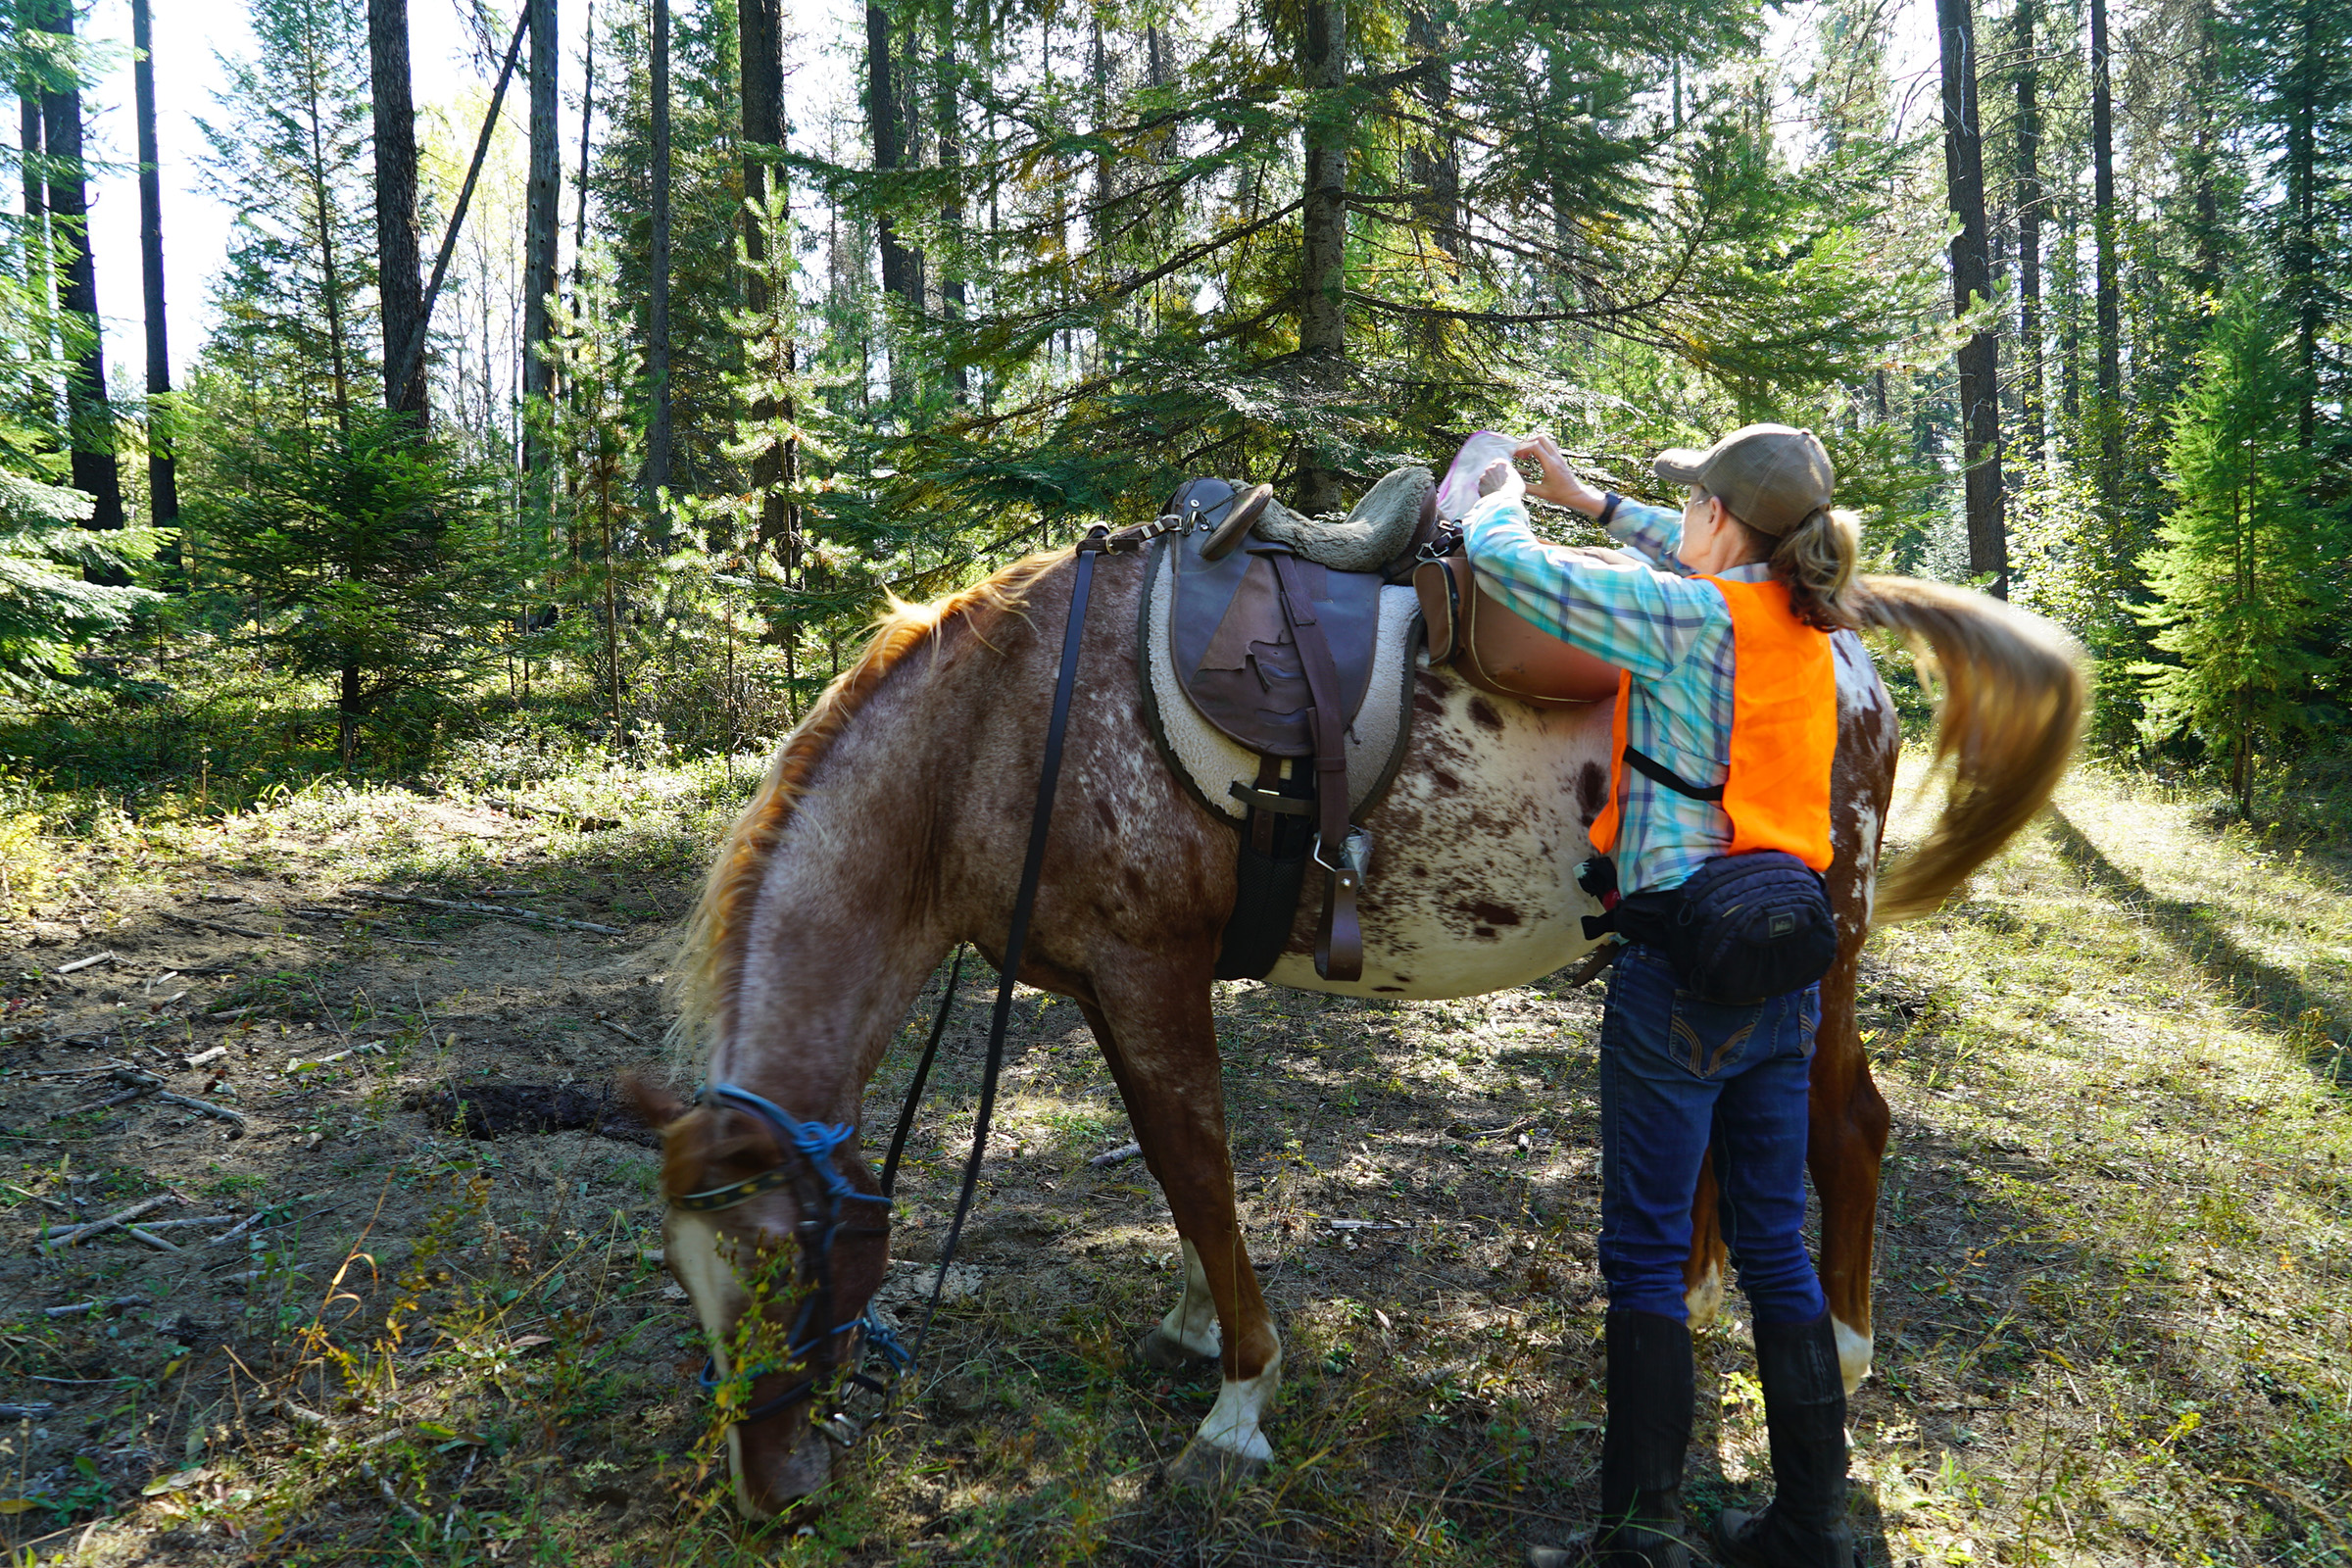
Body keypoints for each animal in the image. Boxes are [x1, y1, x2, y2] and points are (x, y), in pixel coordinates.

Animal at [632, 539, 2084, 1515]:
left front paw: (1237, 1402)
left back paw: (1842, 1347)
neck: (998, 733)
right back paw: (1688, 1294)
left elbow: (1198, 1169)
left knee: (1851, 1123)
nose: (774, 1488)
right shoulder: (1112, 991)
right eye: (690, 1281)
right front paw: (1198, 1328)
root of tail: (1838, 630)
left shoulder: (1151, 977)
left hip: (1822, 945)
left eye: (783, 1269)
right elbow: (1176, 1169)